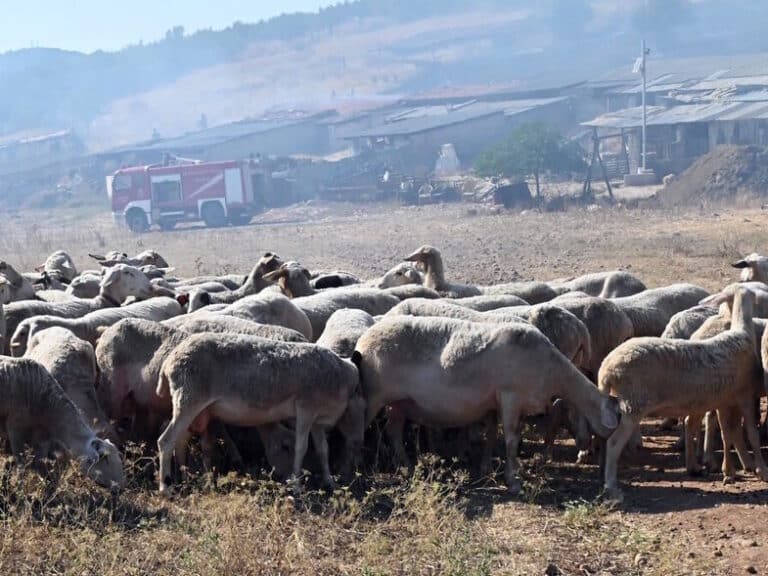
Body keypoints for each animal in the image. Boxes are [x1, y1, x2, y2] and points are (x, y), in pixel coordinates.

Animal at [0, 360, 124, 490]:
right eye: (105, 458)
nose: (120, 488)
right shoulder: (15, 429)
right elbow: (21, 465)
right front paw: (19, 488)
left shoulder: (42, 438)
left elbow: (40, 465)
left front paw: (50, 488)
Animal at [156, 332, 366, 496]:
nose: (358, 441)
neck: (343, 377)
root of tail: (169, 361)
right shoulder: (306, 408)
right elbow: (302, 447)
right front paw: (296, 485)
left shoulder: (317, 421)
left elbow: (323, 450)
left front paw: (330, 482)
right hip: (190, 398)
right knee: (166, 441)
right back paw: (165, 487)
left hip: (190, 403)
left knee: (180, 440)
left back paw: (184, 478)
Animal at [354, 318, 624, 492]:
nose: (591, 449)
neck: (552, 371)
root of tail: (363, 340)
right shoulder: (510, 396)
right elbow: (511, 439)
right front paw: (513, 480)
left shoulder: (496, 403)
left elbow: (494, 434)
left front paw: (487, 467)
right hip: (375, 395)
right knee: (361, 431)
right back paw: (359, 473)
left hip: (399, 402)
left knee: (394, 432)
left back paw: (407, 467)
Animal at [600, 288, 768, 504]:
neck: (741, 332)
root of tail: (607, 368)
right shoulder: (746, 397)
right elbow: (751, 434)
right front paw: (761, 470)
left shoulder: (725, 401)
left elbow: (728, 433)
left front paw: (729, 470)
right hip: (633, 405)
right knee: (613, 443)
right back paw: (612, 487)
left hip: (620, 404)